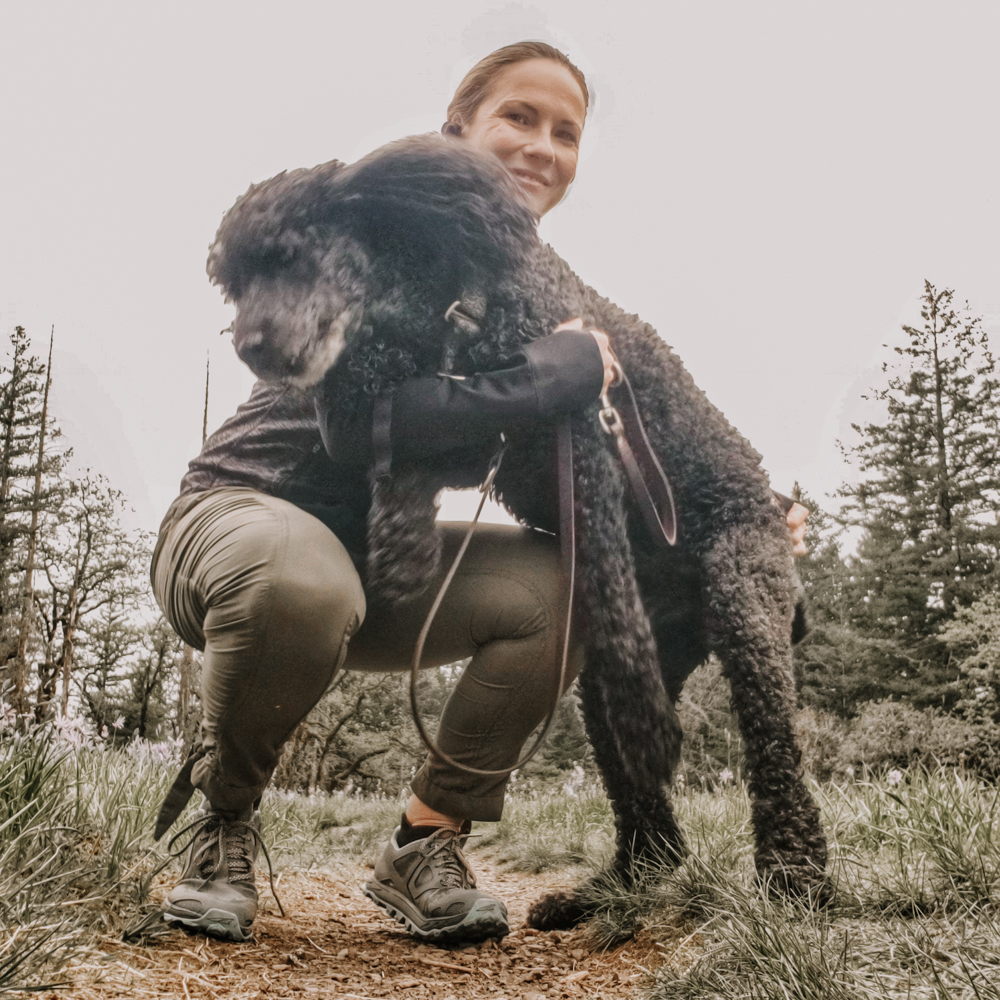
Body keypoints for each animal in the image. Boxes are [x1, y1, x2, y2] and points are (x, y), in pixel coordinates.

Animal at [207, 135, 832, 928]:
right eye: (232, 287)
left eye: (288, 255)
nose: (250, 346)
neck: (459, 299)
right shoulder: (468, 432)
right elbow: (407, 457)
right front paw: (403, 560)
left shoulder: (586, 443)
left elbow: (609, 575)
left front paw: (655, 724)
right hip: (598, 689)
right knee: (637, 793)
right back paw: (617, 888)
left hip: (744, 601)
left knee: (770, 745)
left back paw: (793, 878)